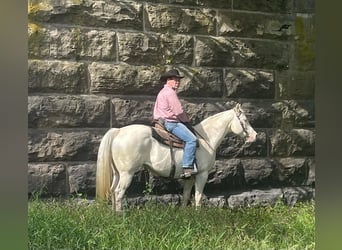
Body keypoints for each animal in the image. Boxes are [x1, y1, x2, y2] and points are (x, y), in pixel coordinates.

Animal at [95, 103, 256, 211]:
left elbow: (186, 196)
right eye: (245, 120)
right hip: (127, 173)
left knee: (112, 191)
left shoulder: (190, 177)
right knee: (118, 192)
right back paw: (120, 215)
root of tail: (118, 131)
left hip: (117, 173)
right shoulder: (202, 174)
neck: (206, 139)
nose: (254, 136)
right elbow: (198, 197)